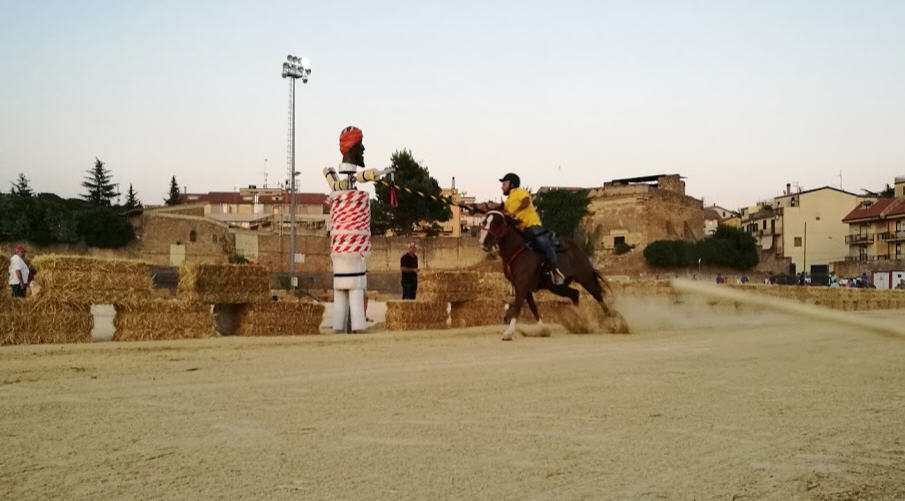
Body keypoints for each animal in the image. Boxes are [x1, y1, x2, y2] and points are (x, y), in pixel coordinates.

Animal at [474, 209, 628, 342]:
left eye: (496, 223)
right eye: (484, 222)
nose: (483, 243)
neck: (519, 251)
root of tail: (577, 249)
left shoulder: (522, 285)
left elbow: (518, 306)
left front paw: (509, 333)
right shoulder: (524, 287)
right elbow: (533, 307)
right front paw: (543, 329)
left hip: (585, 278)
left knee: (597, 295)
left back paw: (614, 323)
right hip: (556, 286)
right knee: (575, 294)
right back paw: (580, 320)